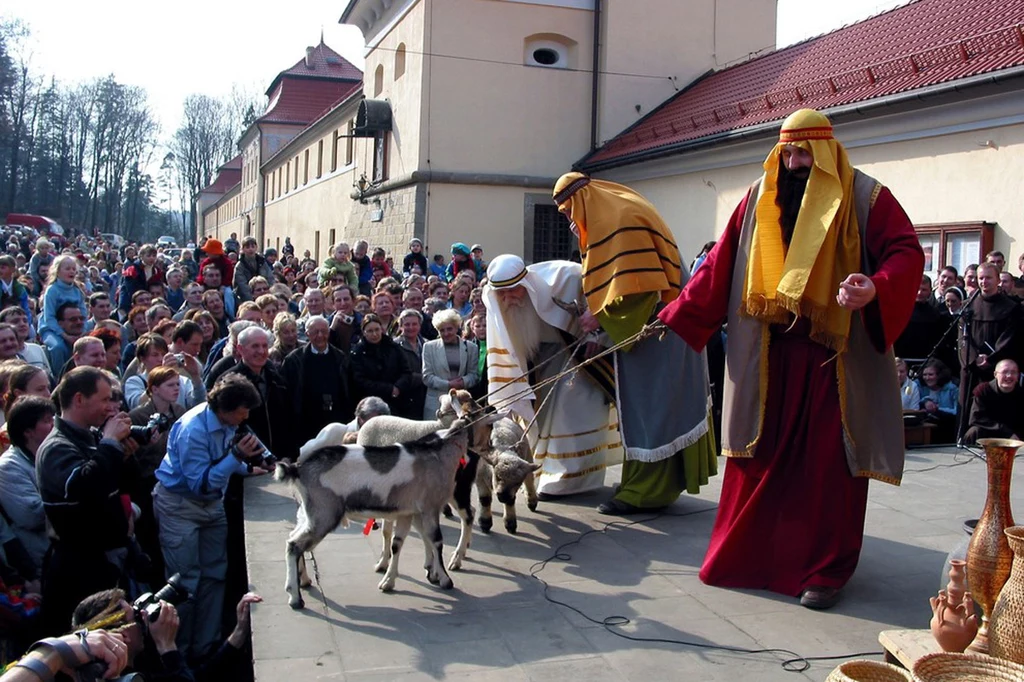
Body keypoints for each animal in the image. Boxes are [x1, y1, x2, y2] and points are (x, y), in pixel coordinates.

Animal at [276, 387, 475, 606]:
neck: (441, 450)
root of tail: (297, 468)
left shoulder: (408, 511)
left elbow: (401, 542)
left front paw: (395, 579)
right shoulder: (430, 506)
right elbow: (436, 540)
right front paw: (446, 580)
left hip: (309, 512)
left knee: (292, 539)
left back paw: (302, 581)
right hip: (324, 513)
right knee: (295, 545)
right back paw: (295, 598)